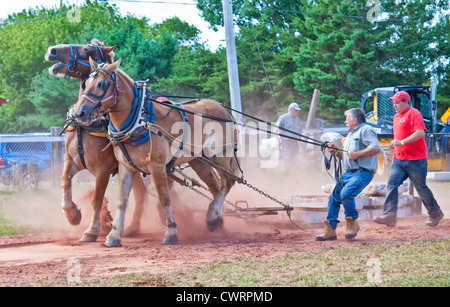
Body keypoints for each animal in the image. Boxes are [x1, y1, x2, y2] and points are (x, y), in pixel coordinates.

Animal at [44, 41, 146, 242]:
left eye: (86, 50)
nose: (52, 51)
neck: (86, 125)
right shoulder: (71, 160)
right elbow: (64, 181)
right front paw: (73, 215)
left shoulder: (103, 170)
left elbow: (97, 199)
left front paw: (92, 230)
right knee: (141, 193)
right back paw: (132, 227)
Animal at [74, 58, 241, 248]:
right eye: (85, 83)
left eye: (102, 84)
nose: (80, 112)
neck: (139, 120)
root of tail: (225, 110)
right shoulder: (126, 167)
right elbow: (122, 201)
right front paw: (114, 236)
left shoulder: (157, 166)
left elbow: (164, 198)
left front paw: (171, 233)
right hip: (199, 161)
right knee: (216, 186)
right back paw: (217, 220)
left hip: (220, 156)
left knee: (229, 181)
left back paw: (213, 216)